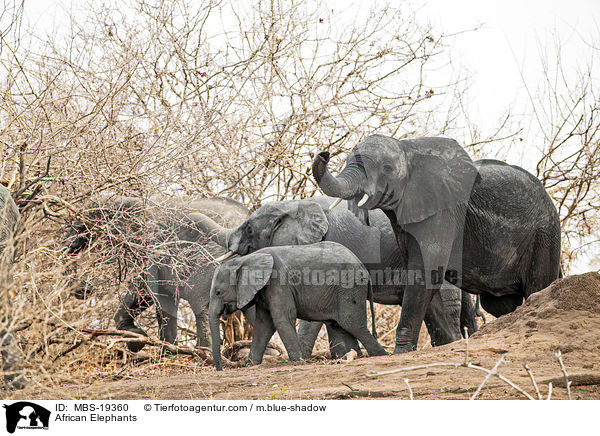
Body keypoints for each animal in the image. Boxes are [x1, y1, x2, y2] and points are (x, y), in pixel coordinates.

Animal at [67, 196, 250, 352]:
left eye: (85, 228)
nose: (86, 289)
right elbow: (162, 297)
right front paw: (167, 350)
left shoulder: (153, 247)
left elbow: (145, 289)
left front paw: (138, 341)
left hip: (210, 256)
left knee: (199, 301)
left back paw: (204, 352)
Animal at [210, 240, 390, 370]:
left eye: (218, 292)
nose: (220, 369)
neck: (245, 260)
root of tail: (364, 268)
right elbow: (264, 325)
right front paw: (251, 364)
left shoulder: (278, 282)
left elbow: (282, 319)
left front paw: (299, 361)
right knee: (341, 326)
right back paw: (354, 356)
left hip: (349, 287)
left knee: (352, 324)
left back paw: (382, 355)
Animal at [314, 135, 564, 354]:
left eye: (387, 168)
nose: (324, 153)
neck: (408, 149)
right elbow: (425, 280)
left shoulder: (443, 213)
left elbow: (423, 273)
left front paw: (401, 352)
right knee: (498, 303)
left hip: (544, 235)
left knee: (536, 287)